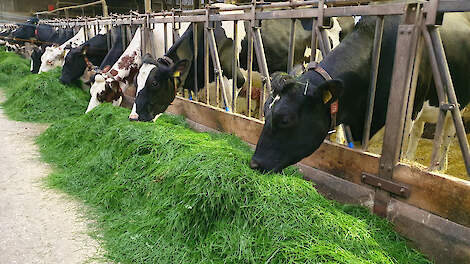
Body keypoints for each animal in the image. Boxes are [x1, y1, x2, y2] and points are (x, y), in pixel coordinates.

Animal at [252, 13, 470, 172]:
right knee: (419, 131)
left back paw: (439, 169)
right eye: (265, 112)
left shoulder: (405, 118)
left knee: (448, 136)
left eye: (285, 119)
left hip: (456, 105)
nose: (254, 163)